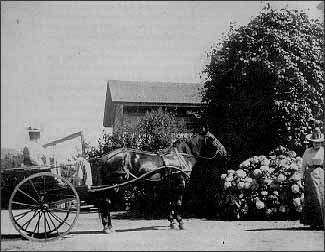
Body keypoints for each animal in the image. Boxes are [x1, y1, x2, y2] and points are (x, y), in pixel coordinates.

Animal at [88, 133, 225, 233]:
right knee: (106, 203)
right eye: (213, 138)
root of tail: (106, 157)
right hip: (114, 185)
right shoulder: (180, 183)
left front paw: (172, 222)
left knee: (105, 203)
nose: (224, 151)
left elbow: (171, 203)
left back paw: (107, 226)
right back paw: (108, 227)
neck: (181, 156)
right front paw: (180, 222)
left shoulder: (170, 186)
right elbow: (178, 203)